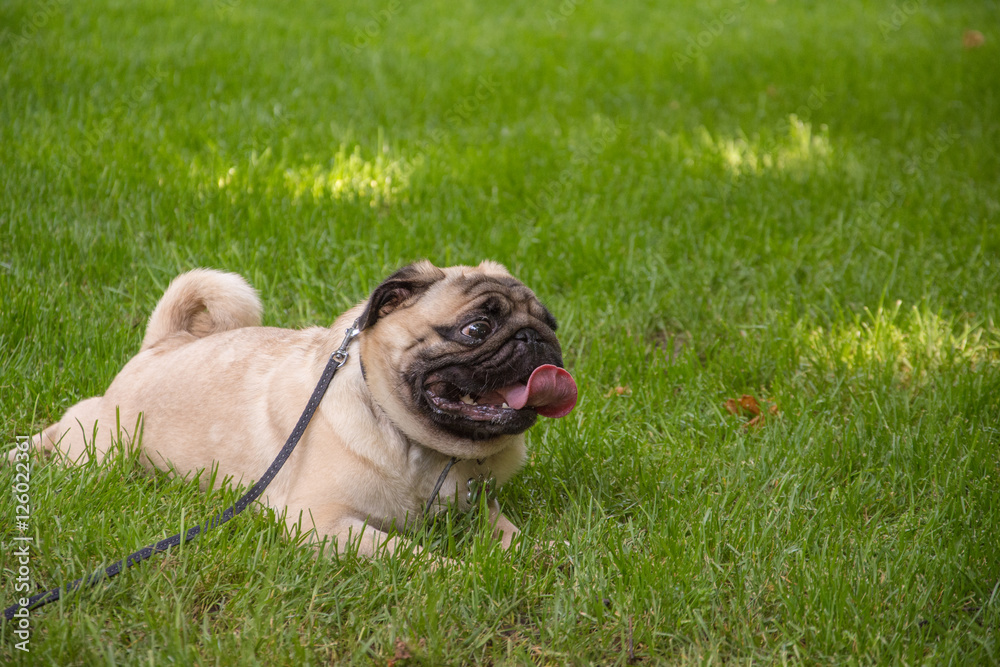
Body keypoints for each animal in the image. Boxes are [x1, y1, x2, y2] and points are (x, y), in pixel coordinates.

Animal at [23, 264, 580, 556]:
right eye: (476, 329)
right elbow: (403, 550)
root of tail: (162, 343)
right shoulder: (322, 521)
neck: (427, 452)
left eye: (551, 323)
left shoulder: (480, 507)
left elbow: (511, 535)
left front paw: (541, 557)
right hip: (101, 443)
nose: (535, 338)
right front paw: (452, 571)